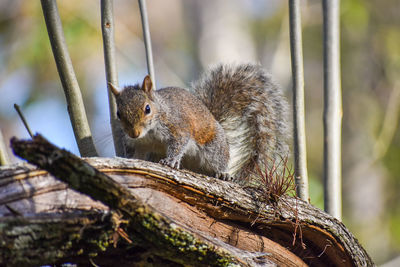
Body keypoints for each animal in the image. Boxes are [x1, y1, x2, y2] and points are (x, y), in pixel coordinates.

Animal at [109, 63, 290, 183]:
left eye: (147, 109)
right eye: (118, 113)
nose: (134, 133)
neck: (150, 134)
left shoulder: (177, 127)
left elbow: (179, 143)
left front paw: (171, 161)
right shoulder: (139, 145)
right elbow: (137, 154)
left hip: (214, 148)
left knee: (219, 162)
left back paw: (223, 173)